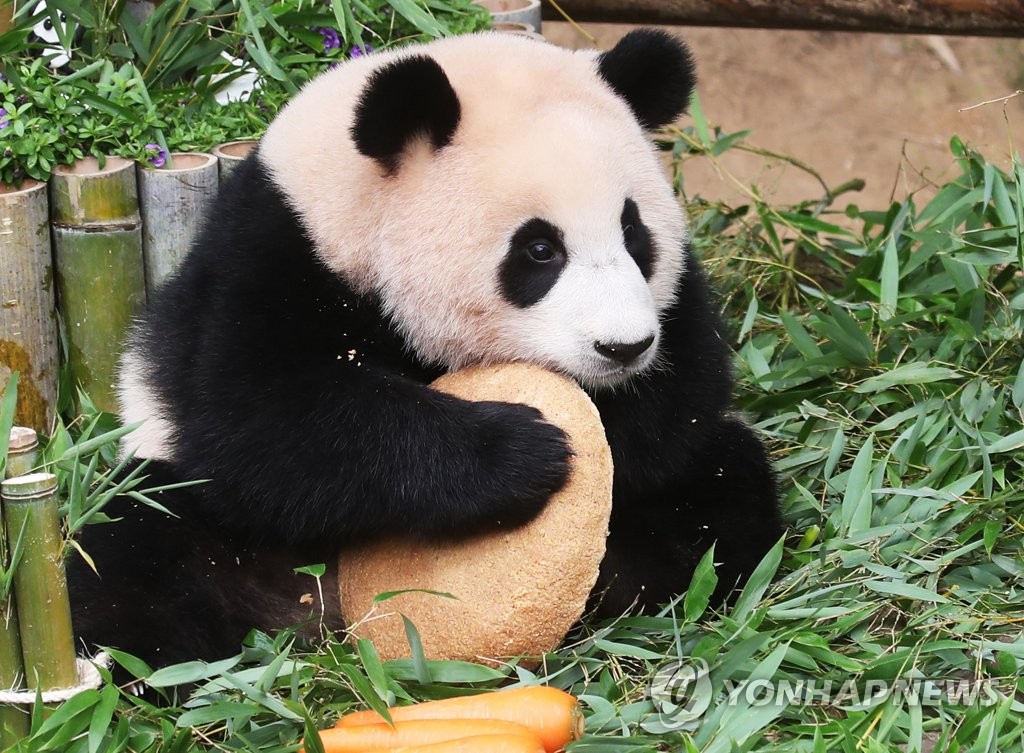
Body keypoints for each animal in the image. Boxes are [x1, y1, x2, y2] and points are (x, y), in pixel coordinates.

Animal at [66, 29, 782, 667]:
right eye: (539, 250)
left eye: (635, 234)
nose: (623, 347)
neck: (352, 208)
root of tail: (318, 609)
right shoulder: (273, 258)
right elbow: (266, 422)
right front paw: (524, 450)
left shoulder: (675, 311)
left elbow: (685, 389)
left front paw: (605, 436)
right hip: (182, 497)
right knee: (130, 555)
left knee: (726, 488)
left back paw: (638, 581)